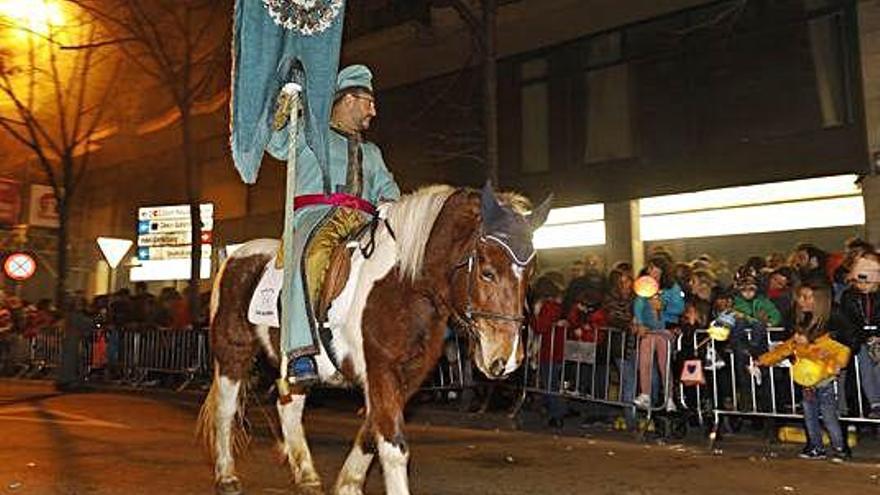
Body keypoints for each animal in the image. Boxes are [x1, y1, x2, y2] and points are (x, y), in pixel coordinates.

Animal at [199, 184, 552, 495]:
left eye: (531, 272)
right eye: (487, 271)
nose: (507, 359)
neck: (404, 288)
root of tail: (236, 256)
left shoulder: (406, 377)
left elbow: (372, 430)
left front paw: (348, 484)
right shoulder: (381, 368)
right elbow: (393, 445)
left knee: (288, 406)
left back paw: (307, 476)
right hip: (232, 354)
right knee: (226, 410)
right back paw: (227, 475)